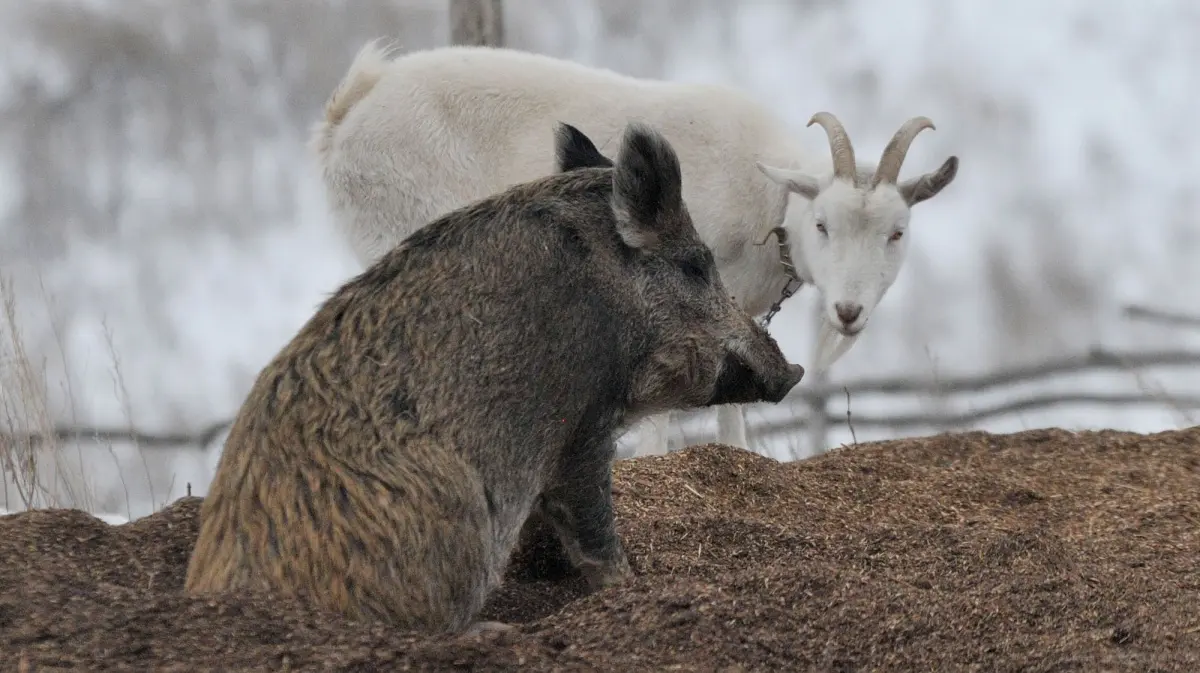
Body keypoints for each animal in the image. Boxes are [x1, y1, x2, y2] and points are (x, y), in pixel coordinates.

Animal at [307, 41, 955, 455]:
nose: (848, 312)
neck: (768, 199)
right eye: (822, 224)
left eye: (897, 232)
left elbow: (734, 409)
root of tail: (351, 110)